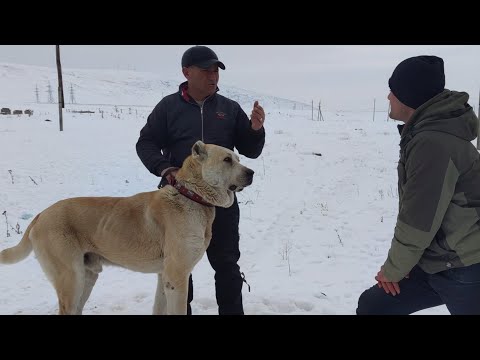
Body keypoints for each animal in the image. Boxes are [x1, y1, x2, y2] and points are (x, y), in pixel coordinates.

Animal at [0, 141, 255, 316]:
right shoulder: (178, 276)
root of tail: (40, 215)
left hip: (86, 277)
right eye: (227, 160)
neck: (191, 196)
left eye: (238, 157)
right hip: (71, 279)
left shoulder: (164, 277)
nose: (251, 172)